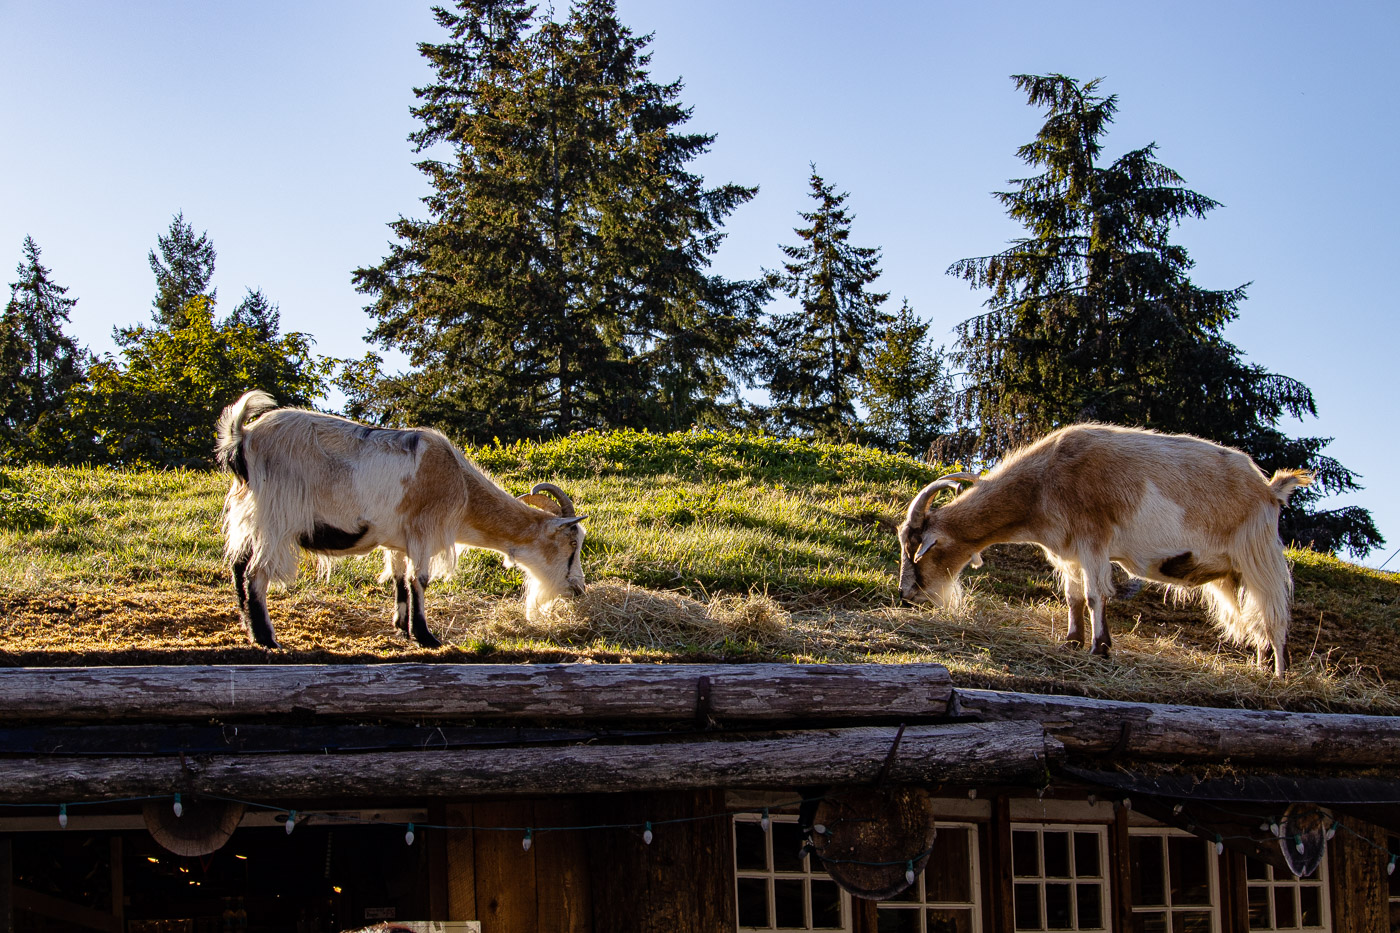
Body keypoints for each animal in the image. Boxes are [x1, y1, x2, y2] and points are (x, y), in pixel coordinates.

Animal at [215, 391, 586, 649]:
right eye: (570, 545)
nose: (579, 589)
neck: (461, 488)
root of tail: (243, 437)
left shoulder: (398, 539)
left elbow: (399, 580)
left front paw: (401, 628)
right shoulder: (423, 530)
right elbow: (418, 580)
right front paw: (426, 637)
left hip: (248, 515)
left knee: (237, 565)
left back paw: (248, 628)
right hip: (276, 516)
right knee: (255, 573)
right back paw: (267, 638)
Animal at [897, 423, 1311, 675]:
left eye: (918, 549)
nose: (905, 594)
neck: (1043, 482)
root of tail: (1270, 489)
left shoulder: (1093, 539)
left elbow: (1097, 594)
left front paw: (1100, 648)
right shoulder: (1068, 552)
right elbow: (1074, 596)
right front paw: (1071, 641)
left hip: (1258, 554)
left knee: (1274, 612)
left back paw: (1278, 673)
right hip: (1232, 572)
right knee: (1254, 614)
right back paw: (1260, 665)